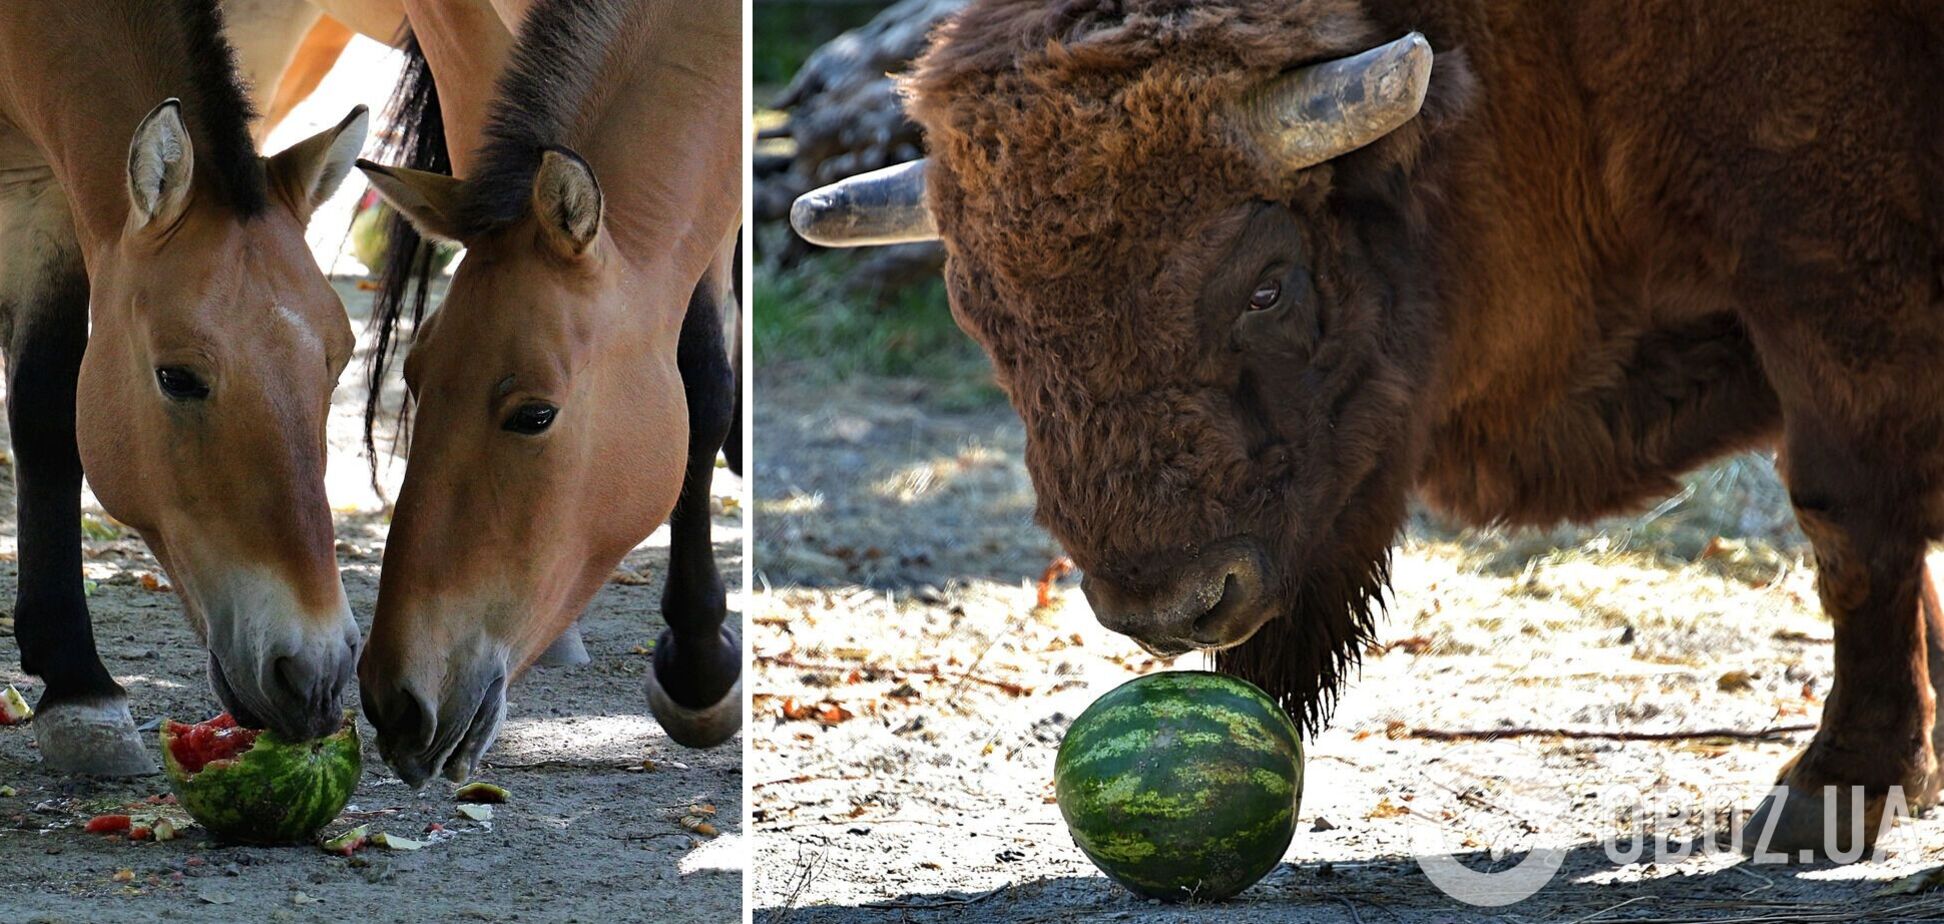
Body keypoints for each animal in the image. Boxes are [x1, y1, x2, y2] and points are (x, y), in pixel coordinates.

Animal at [0, 3, 367, 778]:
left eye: (339, 361)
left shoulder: (42, 195)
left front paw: (76, 688)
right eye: (177, 377)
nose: (315, 674)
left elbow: (47, 414)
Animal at [785, 0, 1944, 859]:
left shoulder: (1826, 276)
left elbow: (1848, 524)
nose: (1173, 607)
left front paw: (1827, 798)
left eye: (1266, 284)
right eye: (984, 322)